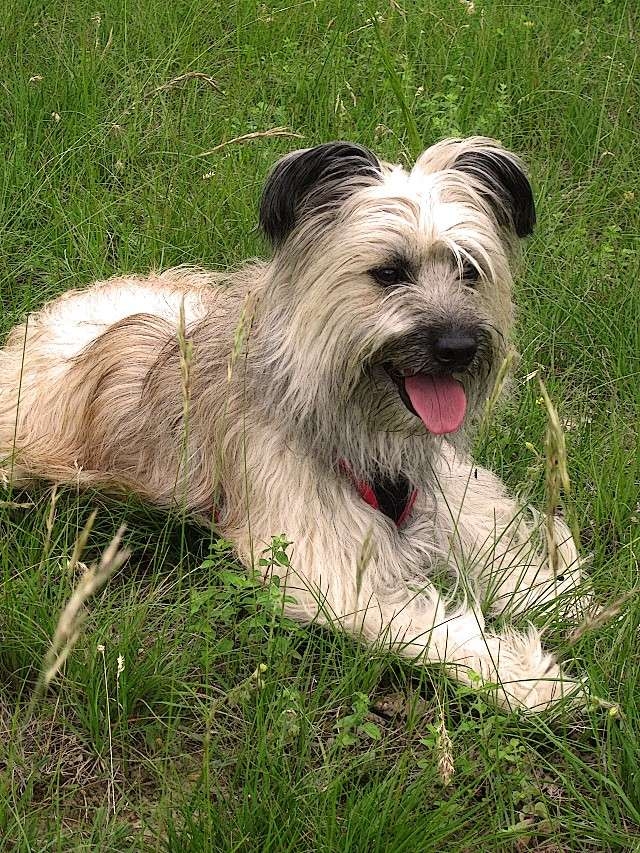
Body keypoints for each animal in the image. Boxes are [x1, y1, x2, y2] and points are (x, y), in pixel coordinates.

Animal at [0, 137, 588, 711]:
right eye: (390, 272)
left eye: (469, 270)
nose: (458, 347)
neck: (352, 423)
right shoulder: (326, 568)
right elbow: (436, 630)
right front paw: (526, 677)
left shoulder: (446, 488)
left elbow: (499, 542)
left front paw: (559, 595)